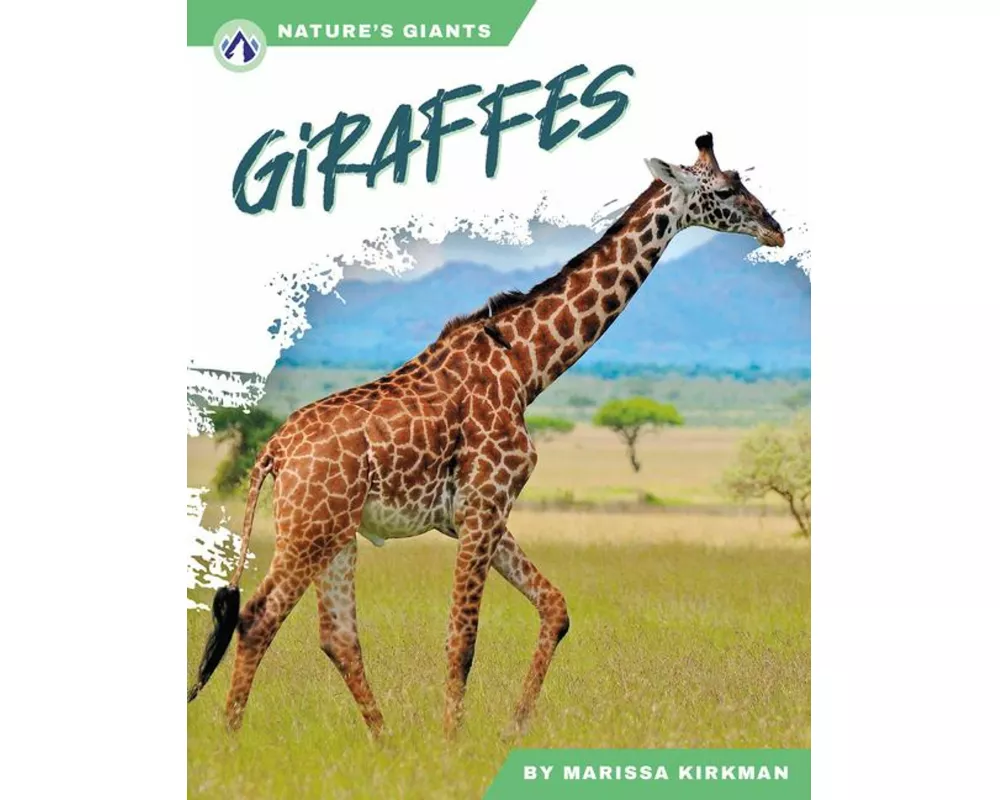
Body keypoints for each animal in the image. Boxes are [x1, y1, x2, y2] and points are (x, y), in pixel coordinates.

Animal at [188, 132, 785, 738]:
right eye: (726, 190)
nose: (775, 229)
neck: (527, 366)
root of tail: (274, 451)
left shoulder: (476, 513)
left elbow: (555, 608)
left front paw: (512, 727)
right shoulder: (484, 503)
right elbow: (462, 639)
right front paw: (452, 742)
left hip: (336, 532)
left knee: (337, 636)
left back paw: (386, 742)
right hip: (310, 527)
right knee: (257, 618)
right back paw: (233, 741)